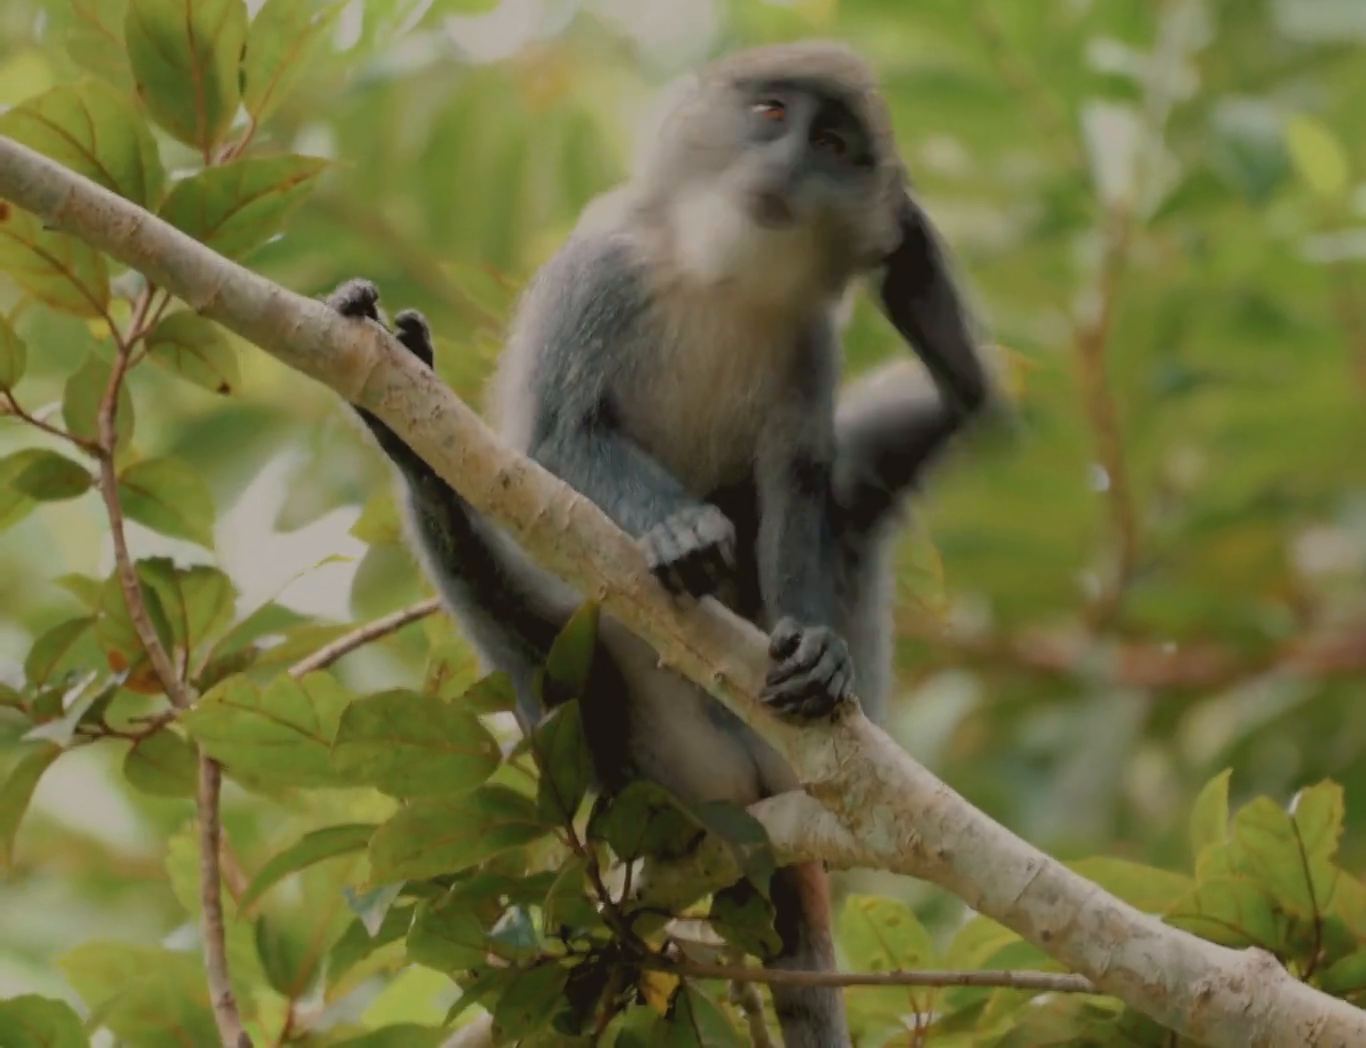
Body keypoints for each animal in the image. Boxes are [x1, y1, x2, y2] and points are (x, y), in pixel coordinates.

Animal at [331, 40, 987, 1048]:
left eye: (833, 143)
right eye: (771, 115)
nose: (787, 164)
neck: (722, 277)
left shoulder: (806, 341)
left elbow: (798, 488)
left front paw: (814, 645)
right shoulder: (604, 273)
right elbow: (562, 435)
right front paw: (679, 530)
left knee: (883, 465)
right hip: (647, 760)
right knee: (539, 645)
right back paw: (411, 446)